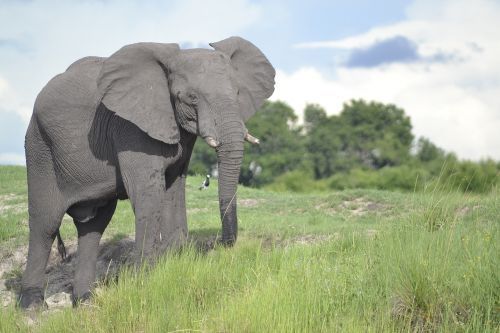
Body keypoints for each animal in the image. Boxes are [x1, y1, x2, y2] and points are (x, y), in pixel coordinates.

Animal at [19, 35, 276, 308]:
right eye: (192, 97)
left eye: (237, 93)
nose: (221, 243)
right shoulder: (130, 128)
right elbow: (149, 196)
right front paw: (144, 281)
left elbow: (174, 190)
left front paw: (174, 259)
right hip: (39, 148)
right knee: (45, 223)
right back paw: (33, 305)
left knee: (93, 227)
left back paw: (85, 300)